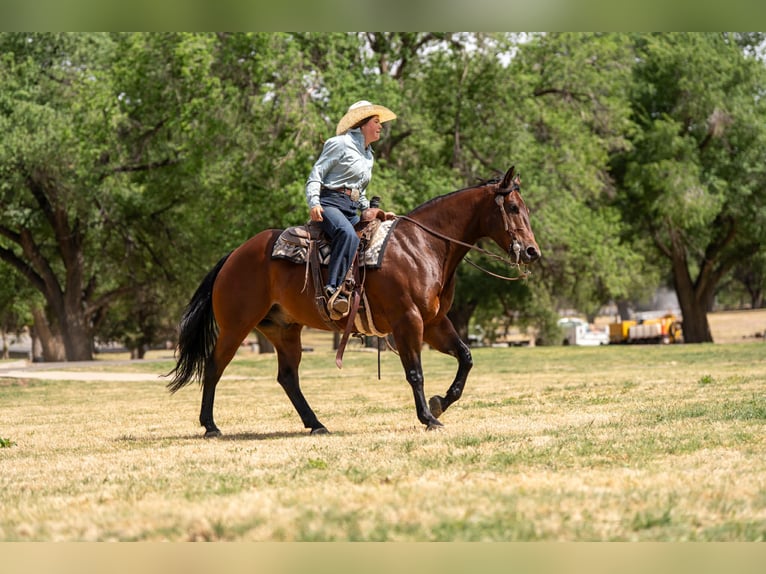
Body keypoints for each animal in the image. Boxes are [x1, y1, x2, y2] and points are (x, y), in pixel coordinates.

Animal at [167, 165, 540, 437]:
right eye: (512, 207)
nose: (532, 252)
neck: (422, 245)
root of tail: (234, 255)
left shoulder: (434, 323)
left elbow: (466, 357)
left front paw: (440, 404)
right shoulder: (408, 321)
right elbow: (415, 373)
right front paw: (428, 417)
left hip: (284, 330)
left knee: (287, 377)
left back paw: (316, 424)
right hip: (236, 326)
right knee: (214, 366)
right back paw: (211, 426)